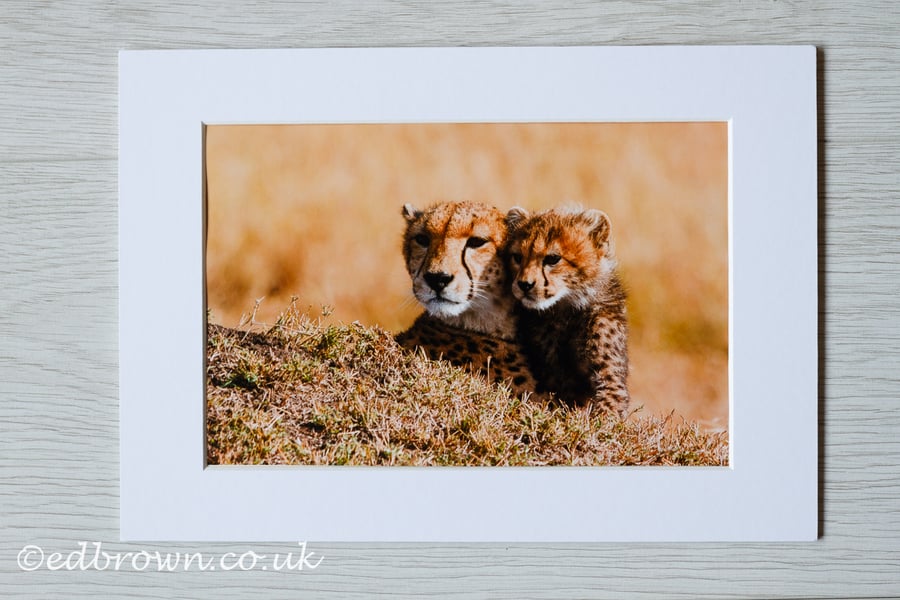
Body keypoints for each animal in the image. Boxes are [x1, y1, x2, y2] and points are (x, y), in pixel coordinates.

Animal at [505, 205, 630, 416]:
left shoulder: (609, 376)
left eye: (553, 259)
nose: (524, 285)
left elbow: (609, 403)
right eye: (517, 257)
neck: (567, 309)